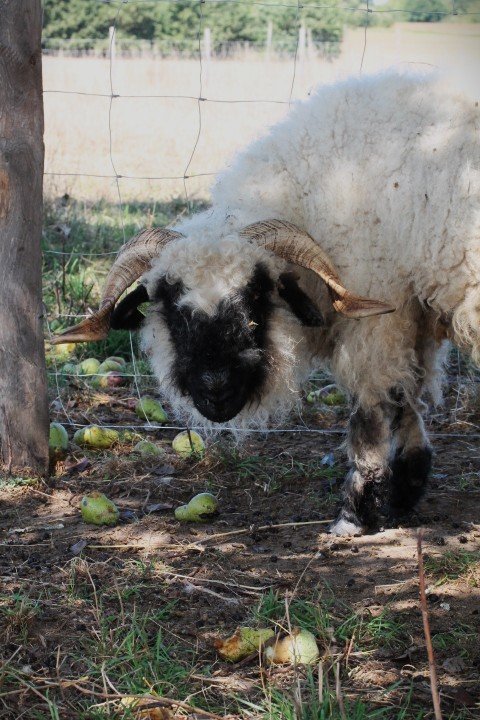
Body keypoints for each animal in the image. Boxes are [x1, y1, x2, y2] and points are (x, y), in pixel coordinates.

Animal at [53, 70, 480, 536]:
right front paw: (405, 490)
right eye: (168, 306)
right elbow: (407, 401)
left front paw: (355, 512)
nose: (215, 392)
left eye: (257, 297)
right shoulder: (413, 314)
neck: (318, 194)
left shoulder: (380, 320)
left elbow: (374, 412)